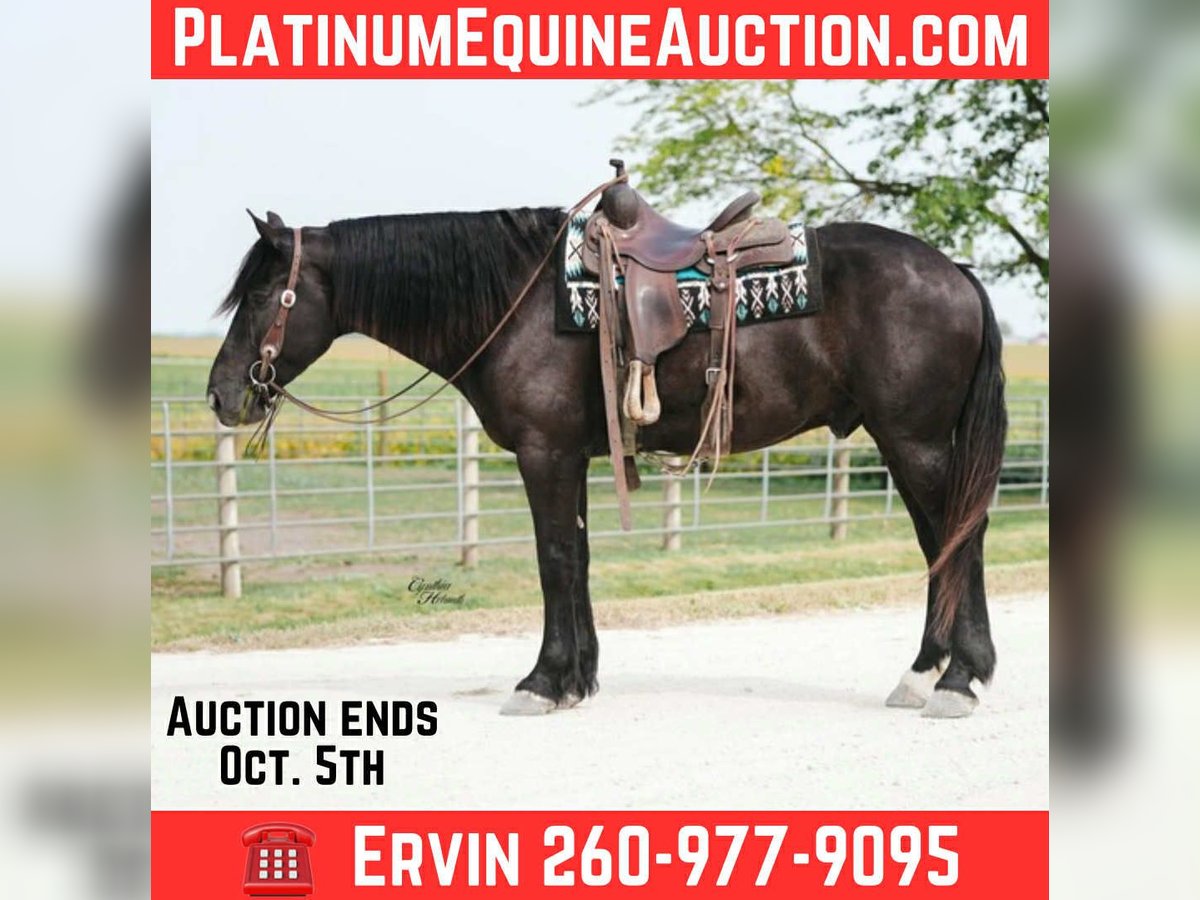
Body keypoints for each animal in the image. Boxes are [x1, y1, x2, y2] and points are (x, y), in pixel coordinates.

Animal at [206, 202, 1007, 719]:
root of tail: (955, 272)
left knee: (957, 541)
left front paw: (543, 682)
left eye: (261, 292)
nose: (221, 394)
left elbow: (554, 559)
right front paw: (578, 678)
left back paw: (955, 680)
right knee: (945, 542)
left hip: (915, 442)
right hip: (909, 443)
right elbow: (579, 560)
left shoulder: (545, 454)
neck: (516, 302)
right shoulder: (573, 457)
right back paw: (934, 674)